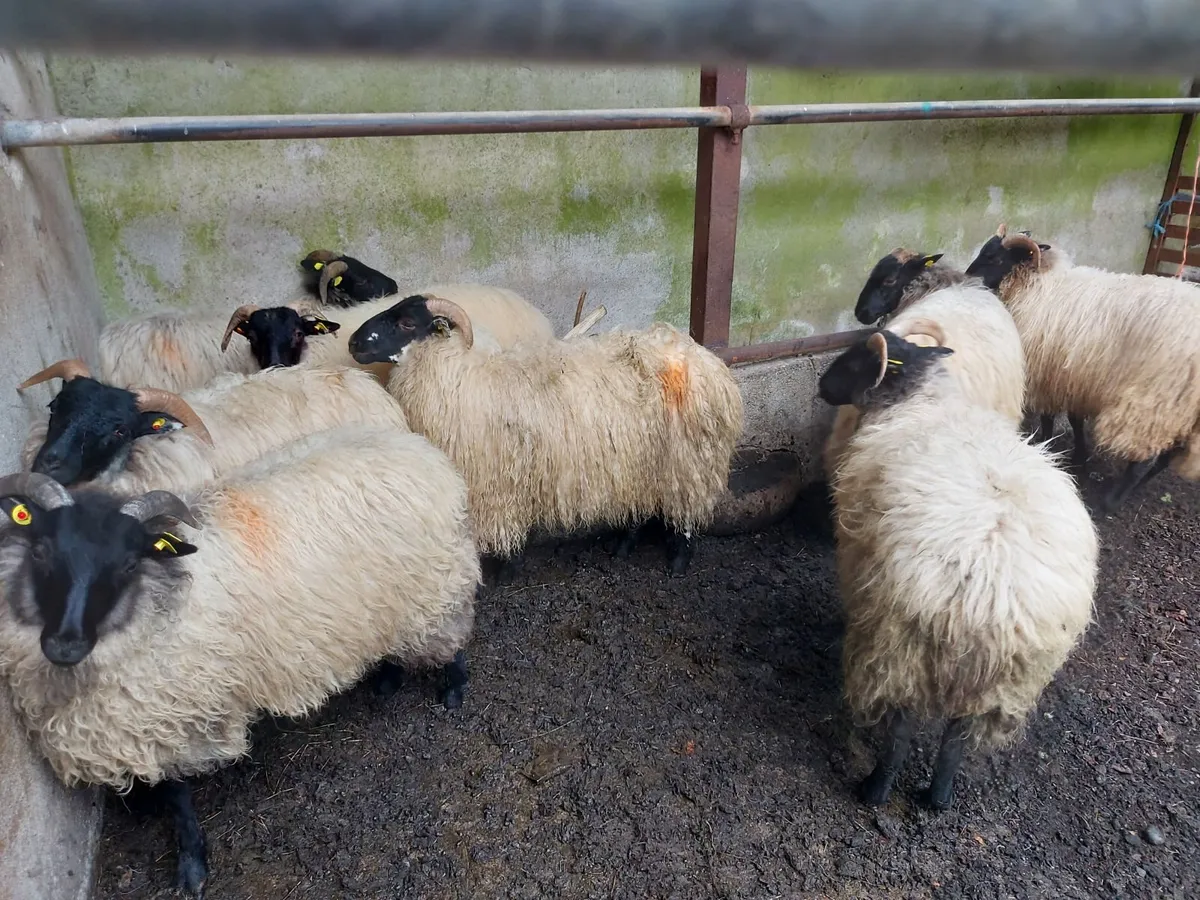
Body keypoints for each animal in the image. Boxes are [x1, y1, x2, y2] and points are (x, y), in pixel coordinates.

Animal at [0, 424, 479, 896]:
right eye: (40, 551)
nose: (64, 644)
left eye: (128, 564)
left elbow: (177, 796)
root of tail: (424, 450)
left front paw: (192, 866)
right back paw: (387, 680)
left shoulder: (176, 716)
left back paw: (453, 689)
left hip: (435, 586)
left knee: (452, 636)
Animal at [346, 293, 745, 576]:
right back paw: (621, 548)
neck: (462, 375)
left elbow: (506, 531)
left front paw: (507, 571)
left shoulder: (497, 484)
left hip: (689, 458)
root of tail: (705, 358)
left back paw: (678, 562)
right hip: (640, 461)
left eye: (407, 322)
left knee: (686, 511)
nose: (353, 343)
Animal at [818, 327, 1097, 810]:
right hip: (1004, 683)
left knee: (902, 727)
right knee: (956, 740)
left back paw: (876, 789)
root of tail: (989, 598)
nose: (820, 384)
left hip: (901, 646)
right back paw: (939, 796)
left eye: (853, 362)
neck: (920, 399)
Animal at [965, 224, 1200, 510]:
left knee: (1144, 460)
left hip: (1153, 403)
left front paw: (1046, 444)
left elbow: (1049, 418)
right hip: (1184, 412)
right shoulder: (1074, 378)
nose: (965, 278)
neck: (1036, 287)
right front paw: (1079, 456)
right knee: (1167, 457)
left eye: (995, 258)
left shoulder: (1047, 375)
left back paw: (1112, 500)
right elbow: (1075, 421)